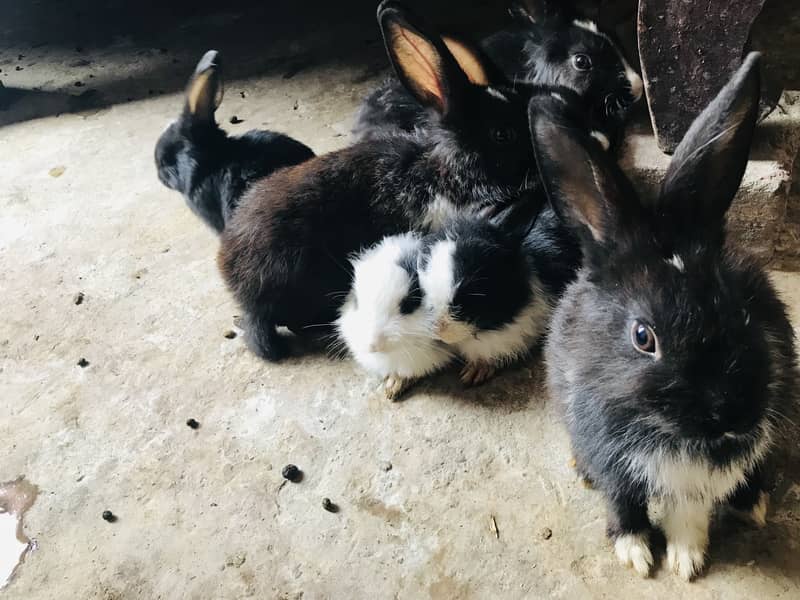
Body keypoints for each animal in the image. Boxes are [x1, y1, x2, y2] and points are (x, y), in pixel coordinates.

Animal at [531, 52, 799, 580]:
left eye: (739, 309)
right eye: (642, 337)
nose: (732, 416)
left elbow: (688, 514)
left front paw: (686, 560)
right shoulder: (614, 460)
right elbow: (624, 502)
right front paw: (636, 552)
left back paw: (754, 504)